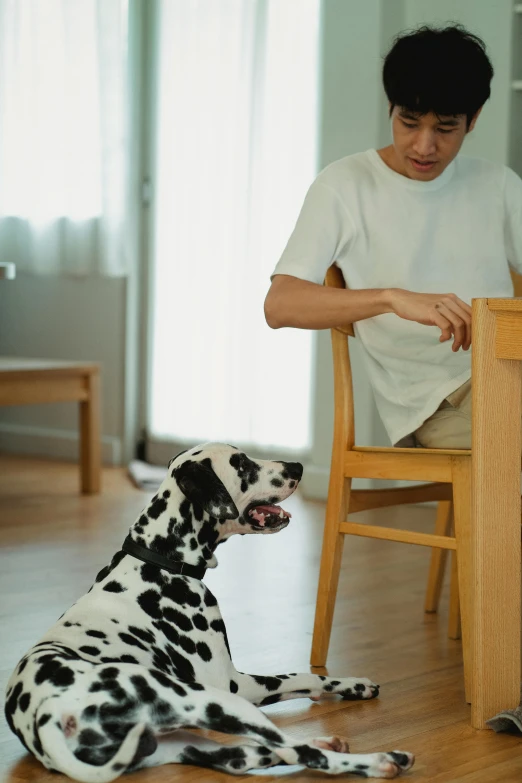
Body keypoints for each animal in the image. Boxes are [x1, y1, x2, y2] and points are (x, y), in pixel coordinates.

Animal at [4, 444, 412, 780]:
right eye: (242, 463)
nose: (296, 465)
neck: (161, 560)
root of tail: (49, 716)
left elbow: (310, 679)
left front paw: (353, 685)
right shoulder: (233, 683)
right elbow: (303, 675)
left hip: (179, 743)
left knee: (260, 755)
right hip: (214, 701)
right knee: (300, 753)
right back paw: (380, 760)